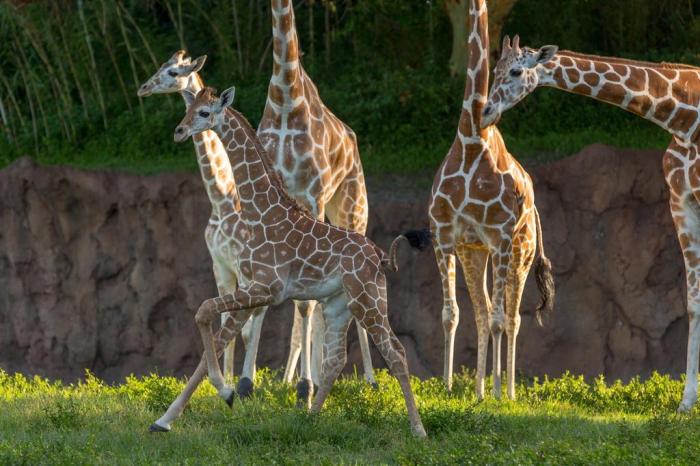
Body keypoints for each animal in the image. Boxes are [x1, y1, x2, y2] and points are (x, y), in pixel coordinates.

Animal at [136, 50, 274, 400]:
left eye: (173, 71)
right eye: (160, 65)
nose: (144, 88)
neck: (222, 200)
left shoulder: (243, 267)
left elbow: (244, 325)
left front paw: (244, 385)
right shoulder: (219, 265)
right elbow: (225, 320)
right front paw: (226, 384)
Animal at [172, 86, 430, 436]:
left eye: (203, 112)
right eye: (188, 108)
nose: (179, 131)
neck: (260, 212)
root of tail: (379, 257)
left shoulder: (265, 288)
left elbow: (204, 310)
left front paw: (227, 392)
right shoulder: (255, 288)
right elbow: (214, 324)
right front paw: (214, 398)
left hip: (368, 300)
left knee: (396, 353)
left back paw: (418, 430)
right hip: (340, 304)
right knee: (335, 359)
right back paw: (310, 419)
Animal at [243, 0, 380, 388]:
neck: (286, 100)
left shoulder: (312, 197)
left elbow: (305, 304)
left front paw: (306, 384)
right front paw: (247, 381)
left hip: (351, 209)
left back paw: (365, 377)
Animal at [430, 0, 556, 400]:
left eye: (517, 69)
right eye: (497, 67)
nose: (488, 110)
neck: (471, 140)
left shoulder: (500, 237)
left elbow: (503, 319)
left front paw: (499, 392)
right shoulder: (445, 235)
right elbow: (451, 314)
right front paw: (447, 385)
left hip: (520, 251)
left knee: (511, 317)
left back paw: (507, 392)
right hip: (475, 252)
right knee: (483, 312)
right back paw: (480, 389)